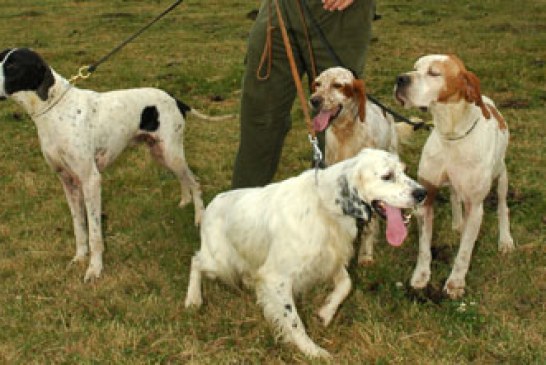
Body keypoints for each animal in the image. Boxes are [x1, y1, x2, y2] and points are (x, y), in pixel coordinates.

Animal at [0, 47, 225, 282]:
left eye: (12, 66)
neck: (55, 110)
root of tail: (175, 99)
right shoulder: (68, 183)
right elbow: (79, 228)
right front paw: (79, 258)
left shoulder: (90, 180)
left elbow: (94, 234)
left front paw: (94, 269)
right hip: (161, 154)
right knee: (184, 179)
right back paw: (184, 201)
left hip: (172, 154)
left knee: (194, 180)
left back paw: (199, 217)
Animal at [183, 149, 424, 358]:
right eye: (387, 176)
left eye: (404, 170)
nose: (423, 193)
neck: (325, 206)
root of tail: (211, 205)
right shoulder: (276, 278)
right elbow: (294, 321)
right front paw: (312, 350)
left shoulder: (329, 259)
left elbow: (346, 284)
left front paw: (325, 313)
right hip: (220, 262)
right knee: (196, 260)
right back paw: (193, 299)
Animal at [394, 54, 512, 298]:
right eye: (414, 67)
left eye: (434, 72)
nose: (400, 79)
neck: (451, 133)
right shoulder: (426, 198)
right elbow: (424, 248)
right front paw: (421, 276)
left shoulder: (476, 206)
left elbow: (464, 252)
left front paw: (456, 283)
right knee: (455, 196)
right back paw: (458, 224)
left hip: (501, 176)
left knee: (502, 207)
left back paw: (505, 240)